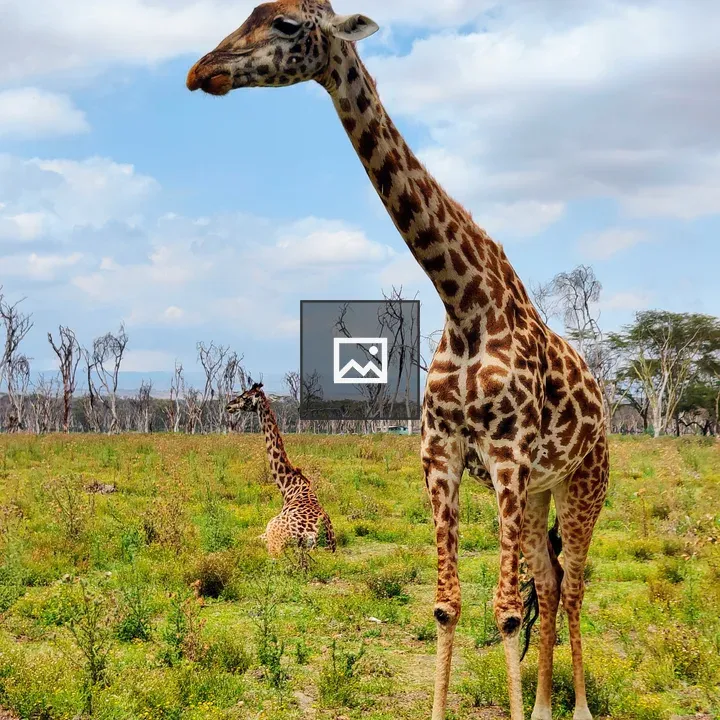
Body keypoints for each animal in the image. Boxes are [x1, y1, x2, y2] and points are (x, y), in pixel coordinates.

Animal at [227, 383, 336, 556]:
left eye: (245, 397)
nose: (228, 406)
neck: (290, 488)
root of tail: (316, 539)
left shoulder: (267, 533)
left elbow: (243, 537)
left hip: (274, 536)